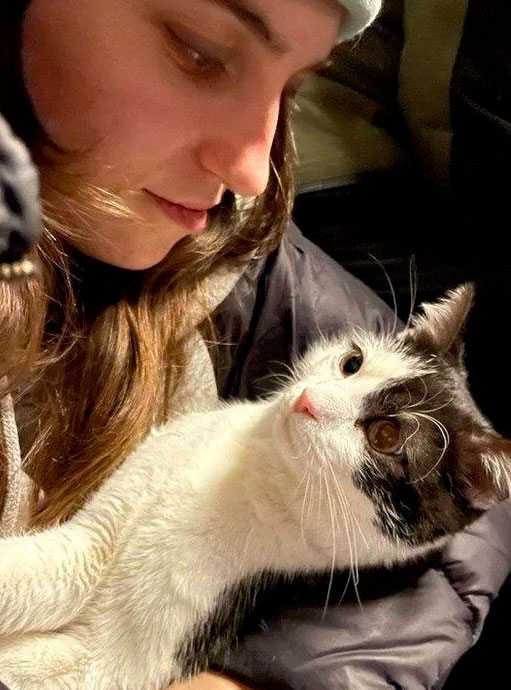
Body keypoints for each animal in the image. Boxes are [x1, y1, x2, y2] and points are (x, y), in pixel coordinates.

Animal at [0, 283, 510, 690]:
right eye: (352, 362)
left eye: (385, 435)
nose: (308, 401)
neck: (252, 467)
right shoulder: (95, 538)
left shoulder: (115, 661)